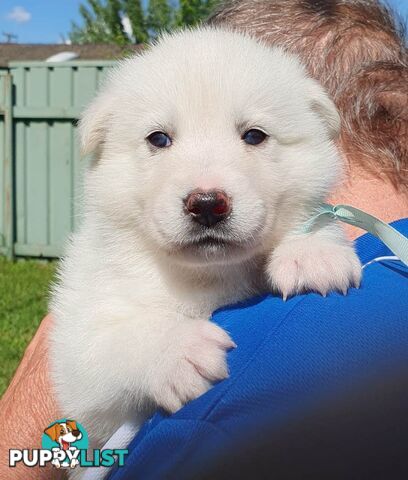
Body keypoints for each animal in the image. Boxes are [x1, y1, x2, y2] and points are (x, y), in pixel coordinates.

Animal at [50, 28, 360, 456]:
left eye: (254, 135)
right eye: (159, 139)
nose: (208, 204)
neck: (210, 276)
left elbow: (315, 217)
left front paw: (312, 252)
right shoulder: (81, 344)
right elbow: (109, 342)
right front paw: (177, 349)